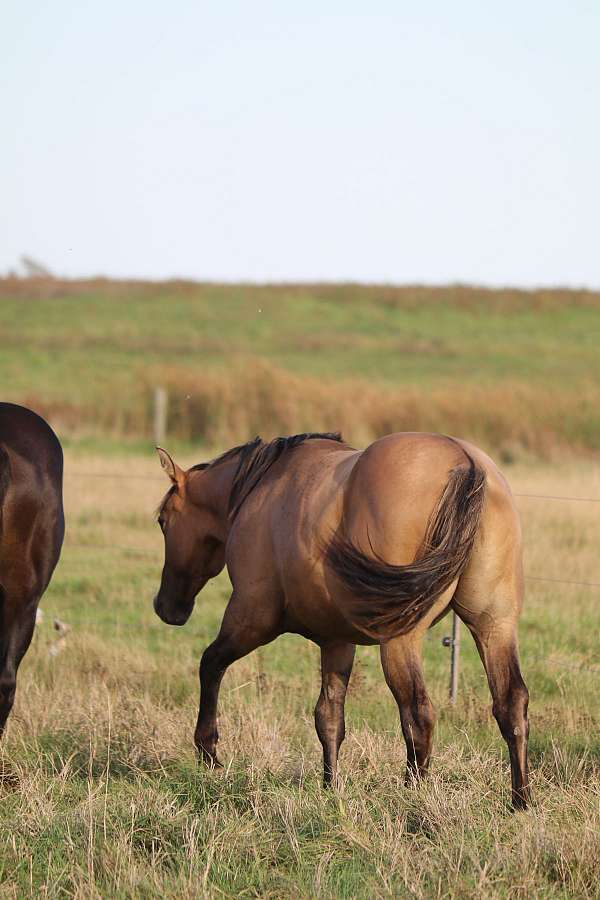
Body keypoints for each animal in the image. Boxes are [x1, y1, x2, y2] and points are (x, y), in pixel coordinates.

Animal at [153, 431, 530, 809]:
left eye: (162, 521)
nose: (165, 608)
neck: (262, 488)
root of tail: (466, 461)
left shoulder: (251, 617)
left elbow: (210, 664)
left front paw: (208, 752)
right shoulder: (336, 642)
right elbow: (329, 717)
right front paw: (330, 787)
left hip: (400, 641)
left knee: (418, 713)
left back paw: (413, 798)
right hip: (494, 626)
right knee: (510, 704)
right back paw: (520, 801)